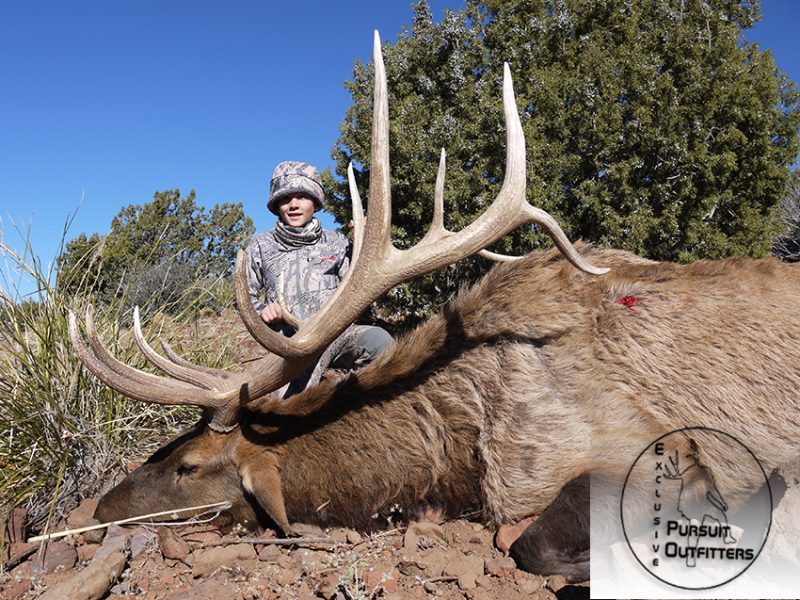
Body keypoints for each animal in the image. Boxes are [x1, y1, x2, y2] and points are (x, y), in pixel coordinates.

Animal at [67, 32, 800, 580]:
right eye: (165, 447)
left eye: (189, 466)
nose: (95, 512)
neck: (453, 450)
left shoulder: (630, 443)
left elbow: (531, 542)